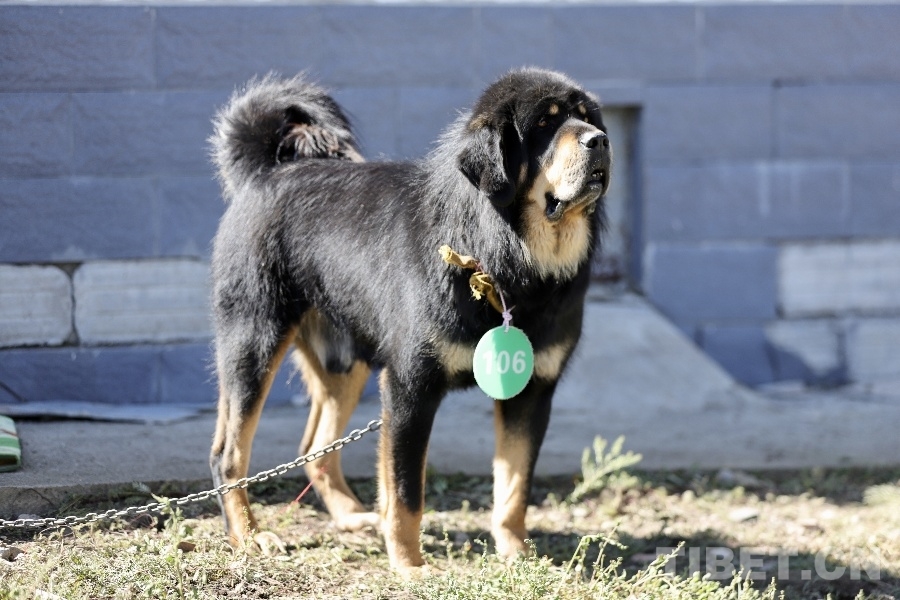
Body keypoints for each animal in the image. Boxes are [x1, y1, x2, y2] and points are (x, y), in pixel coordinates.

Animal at [208, 67, 612, 575]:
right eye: (544, 123)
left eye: (587, 117)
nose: (600, 140)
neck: (503, 262)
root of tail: (265, 172)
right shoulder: (410, 386)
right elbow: (404, 493)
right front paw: (409, 566)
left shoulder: (532, 390)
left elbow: (513, 488)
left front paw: (516, 554)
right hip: (253, 342)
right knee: (228, 454)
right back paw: (249, 536)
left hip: (347, 362)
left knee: (315, 449)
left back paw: (348, 517)